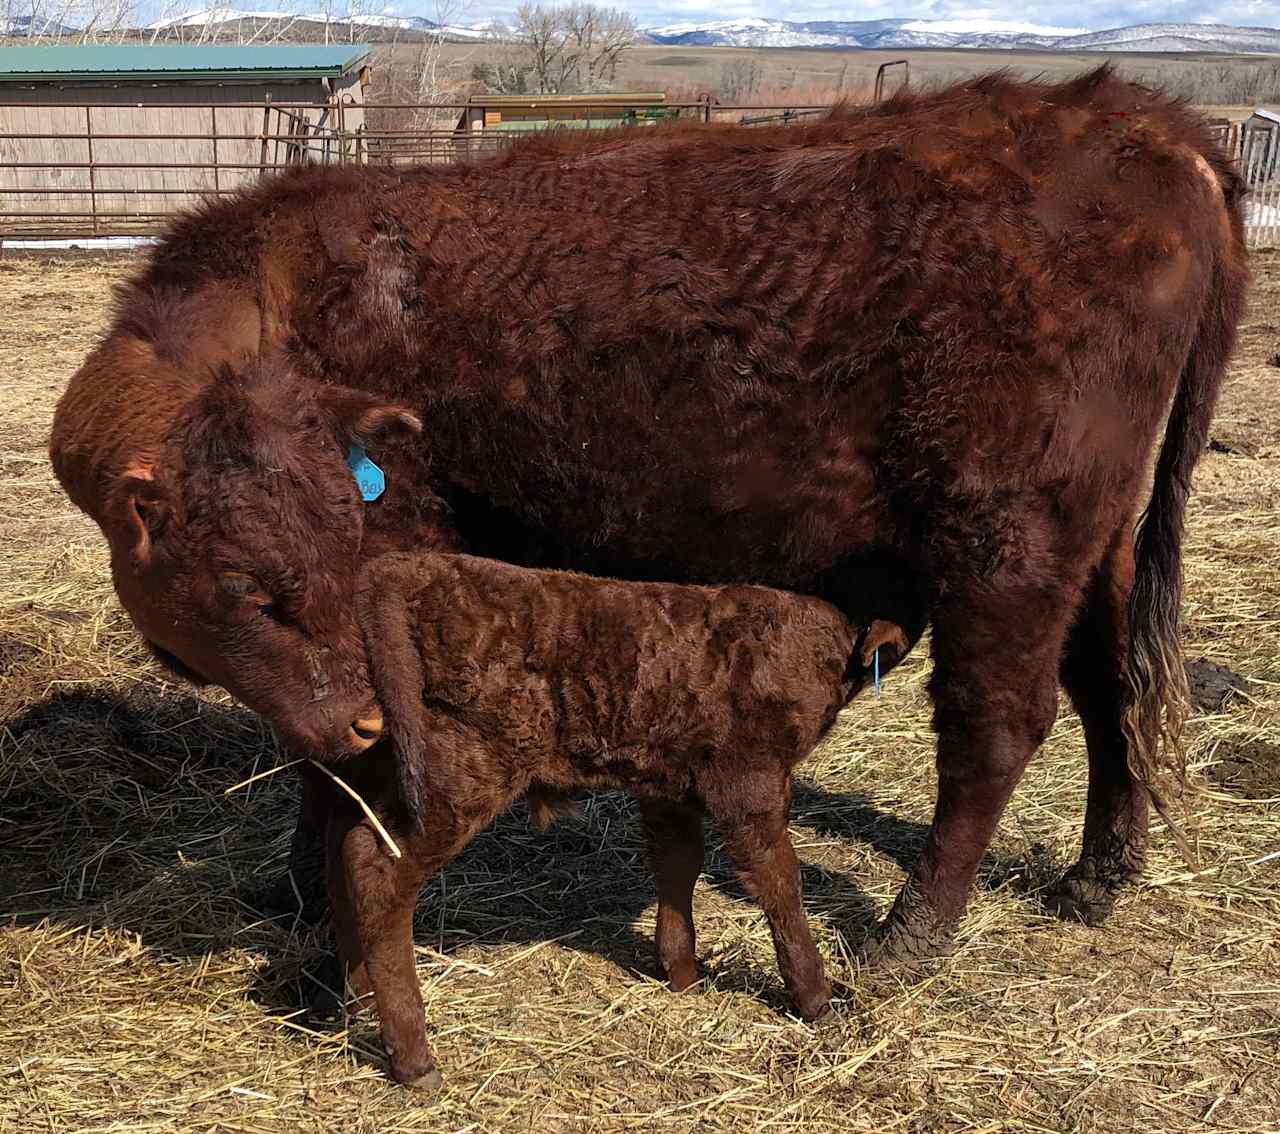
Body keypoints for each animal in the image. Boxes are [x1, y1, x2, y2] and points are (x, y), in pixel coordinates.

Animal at [49, 66, 1249, 1003]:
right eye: (245, 583)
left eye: (273, 573)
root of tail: (1151, 129)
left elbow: (330, 762)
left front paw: (309, 889)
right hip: (1094, 542)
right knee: (1111, 683)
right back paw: (1096, 877)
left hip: (1007, 545)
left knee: (996, 725)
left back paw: (905, 938)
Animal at [327, 555, 911, 1085]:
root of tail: (414, 567)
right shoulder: (751, 784)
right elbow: (780, 883)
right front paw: (815, 997)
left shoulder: (670, 783)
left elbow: (679, 863)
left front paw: (681, 972)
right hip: (459, 773)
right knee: (380, 873)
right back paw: (413, 1057)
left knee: (347, 846)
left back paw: (358, 1002)